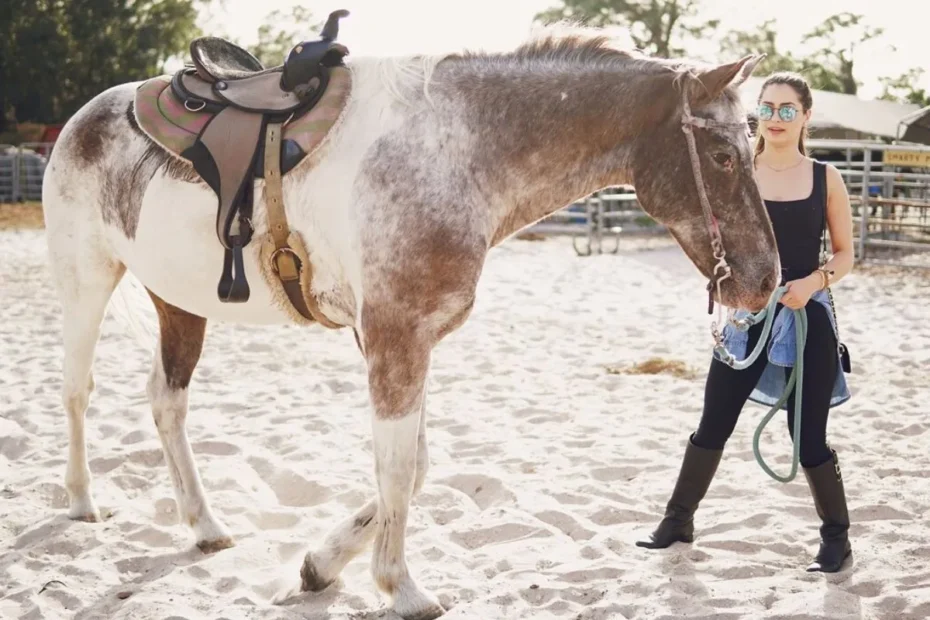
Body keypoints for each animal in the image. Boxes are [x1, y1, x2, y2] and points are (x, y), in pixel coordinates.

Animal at [41, 24, 778, 620]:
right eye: (723, 157)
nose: (767, 278)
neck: (457, 151)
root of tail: (85, 116)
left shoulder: (406, 339)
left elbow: (414, 469)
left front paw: (321, 565)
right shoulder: (394, 337)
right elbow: (398, 471)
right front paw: (400, 587)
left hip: (179, 302)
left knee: (166, 401)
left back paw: (203, 525)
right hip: (85, 282)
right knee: (75, 389)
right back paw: (81, 500)